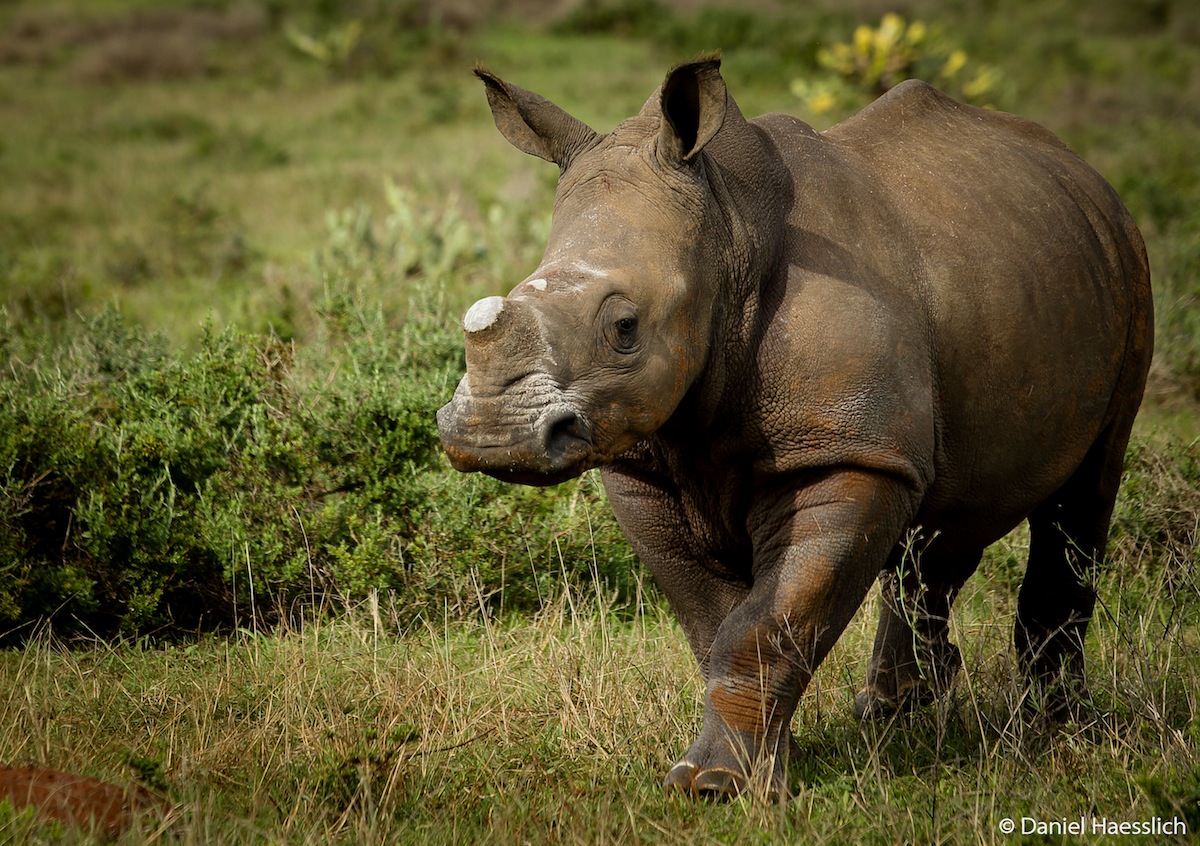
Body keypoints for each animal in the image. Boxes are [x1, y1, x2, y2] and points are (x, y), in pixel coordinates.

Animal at [436, 58, 1153, 797]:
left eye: (625, 328)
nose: (493, 435)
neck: (727, 234)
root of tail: (1082, 170)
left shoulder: (840, 450)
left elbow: (766, 620)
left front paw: (715, 786)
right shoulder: (640, 465)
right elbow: (717, 623)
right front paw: (759, 771)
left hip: (1124, 267)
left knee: (1084, 493)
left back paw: (1058, 728)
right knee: (943, 515)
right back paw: (895, 711)